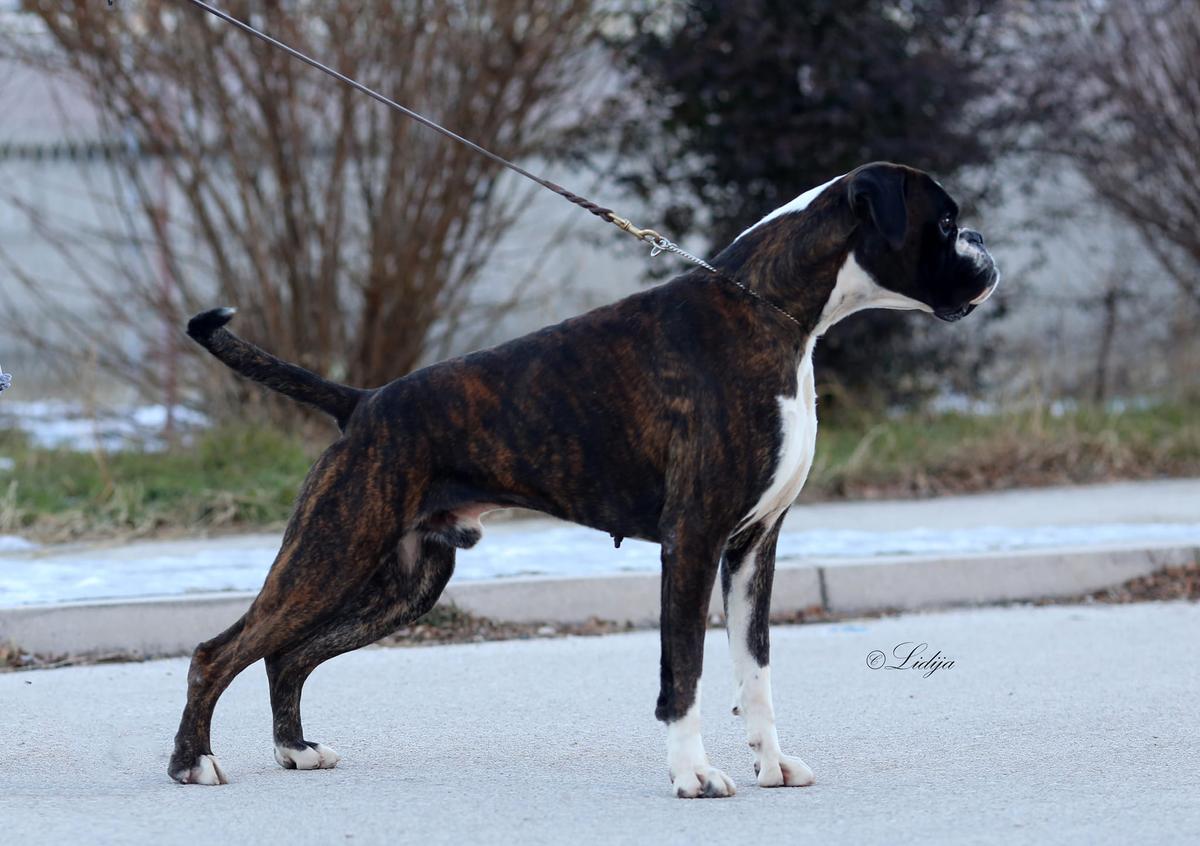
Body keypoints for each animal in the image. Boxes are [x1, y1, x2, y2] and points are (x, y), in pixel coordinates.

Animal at [166, 162, 993, 796]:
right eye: (946, 222)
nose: (985, 246)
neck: (776, 311)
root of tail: (363, 402)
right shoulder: (693, 543)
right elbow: (685, 670)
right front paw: (692, 775)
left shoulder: (753, 549)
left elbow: (753, 670)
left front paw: (772, 763)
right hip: (334, 550)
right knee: (222, 650)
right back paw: (193, 763)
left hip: (403, 582)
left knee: (288, 653)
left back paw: (295, 749)